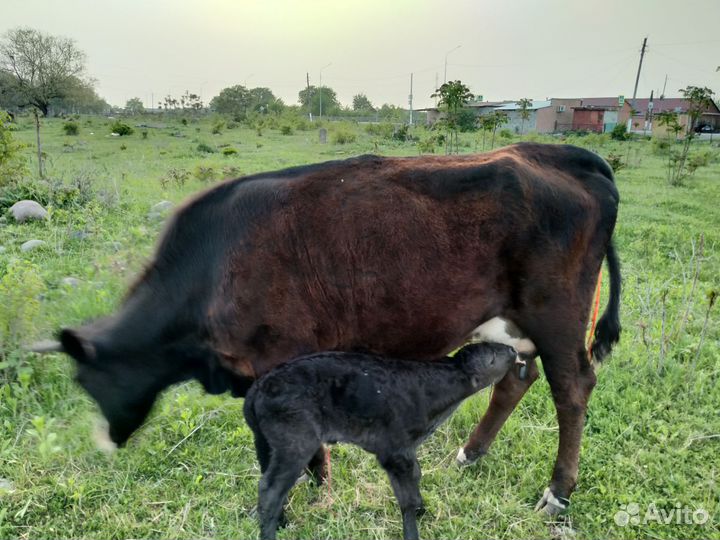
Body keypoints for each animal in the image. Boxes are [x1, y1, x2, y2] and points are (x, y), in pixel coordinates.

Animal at [34, 142, 621, 515]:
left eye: (85, 382)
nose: (105, 443)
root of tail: (562, 153)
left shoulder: (278, 360)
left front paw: (311, 495)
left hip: (557, 314)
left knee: (571, 389)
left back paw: (557, 493)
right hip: (514, 322)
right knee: (516, 379)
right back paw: (469, 455)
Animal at [244, 342, 518, 540]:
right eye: (493, 356)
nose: (514, 350)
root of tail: (257, 388)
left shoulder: (407, 450)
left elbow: (416, 478)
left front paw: (423, 511)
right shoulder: (394, 450)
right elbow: (406, 498)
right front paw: (413, 530)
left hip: (268, 441)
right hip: (295, 439)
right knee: (270, 490)